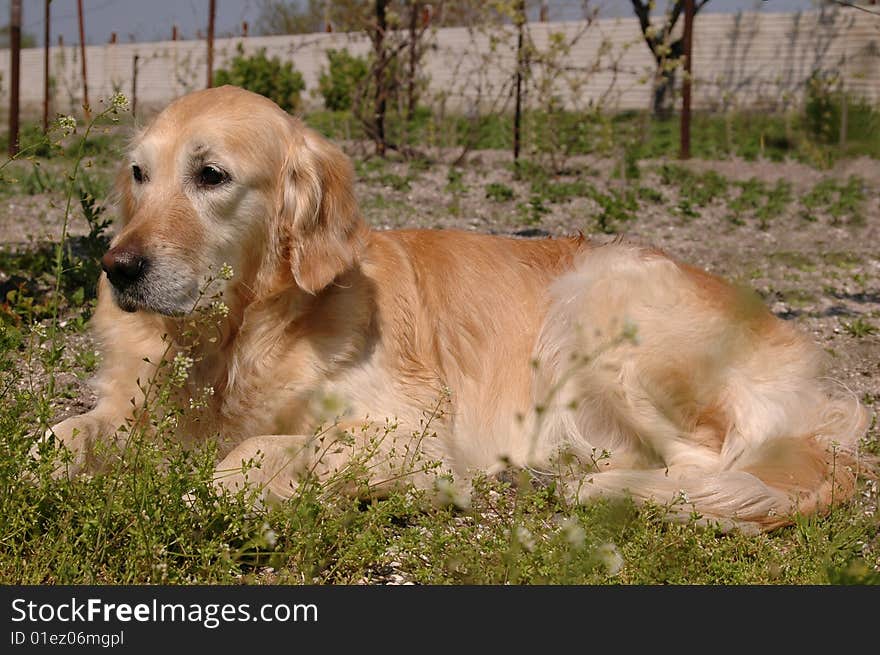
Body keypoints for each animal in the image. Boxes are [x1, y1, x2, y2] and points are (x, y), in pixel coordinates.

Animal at [48, 86, 868, 532]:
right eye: (139, 174)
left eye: (211, 175)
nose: (117, 269)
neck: (236, 334)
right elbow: (57, 437)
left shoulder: (403, 428)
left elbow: (243, 459)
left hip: (600, 294)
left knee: (704, 467)